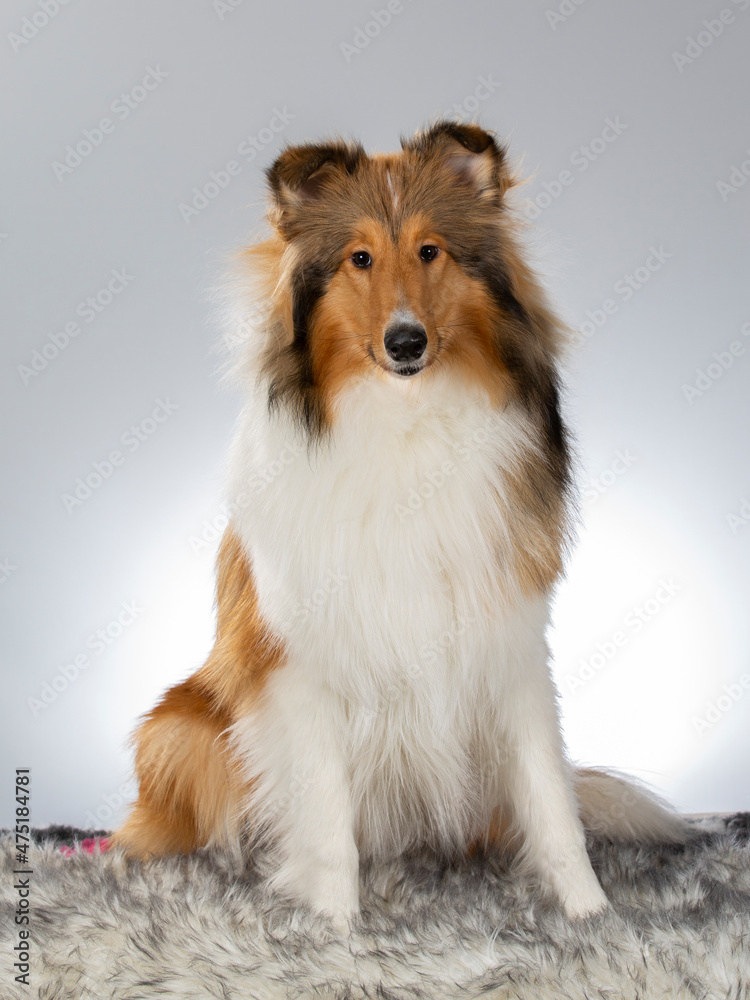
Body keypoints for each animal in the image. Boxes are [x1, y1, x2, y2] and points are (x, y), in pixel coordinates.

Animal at [116, 121, 688, 924]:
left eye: (430, 250)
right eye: (359, 258)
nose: (406, 342)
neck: (407, 423)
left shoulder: (509, 640)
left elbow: (551, 800)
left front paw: (590, 914)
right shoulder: (302, 662)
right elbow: (327, 819)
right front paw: (335, 925)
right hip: (179, 725)